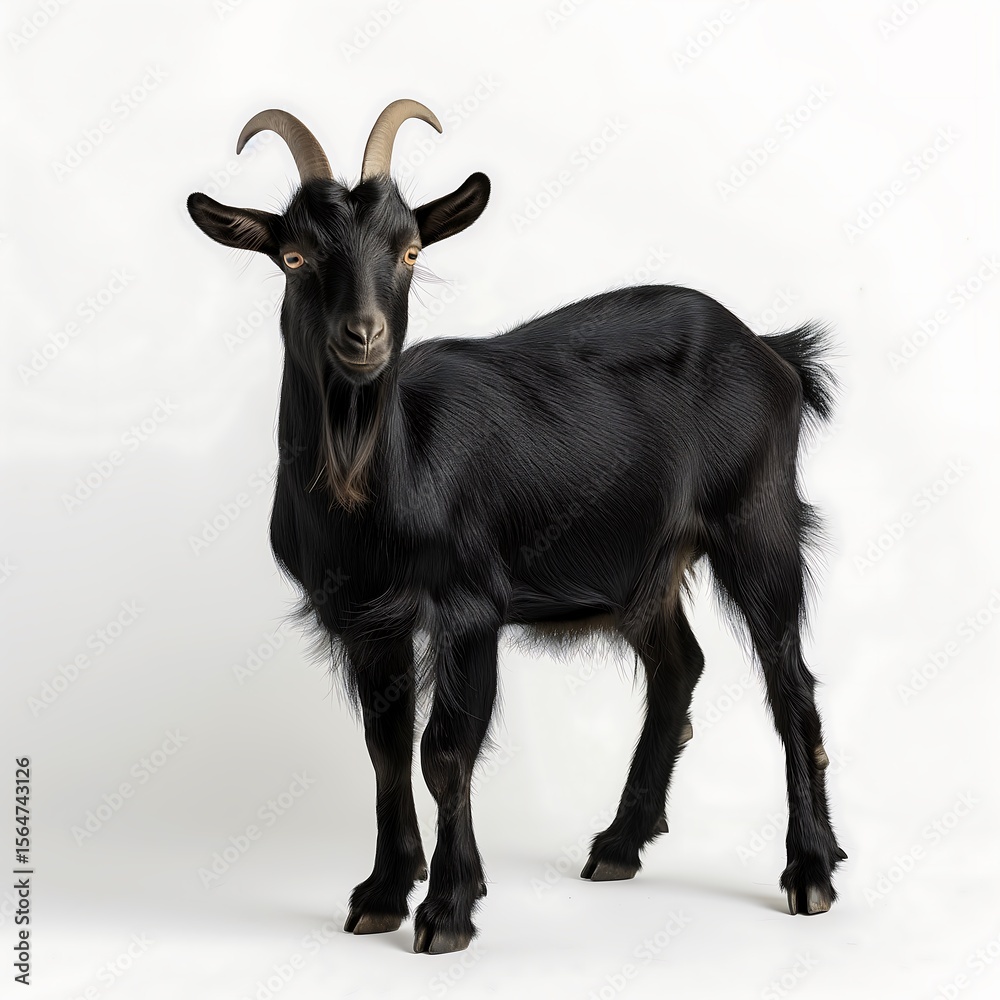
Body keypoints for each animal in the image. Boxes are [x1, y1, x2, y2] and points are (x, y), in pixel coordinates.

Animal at [187, 100, 846, 955]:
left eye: (408, 250)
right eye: (295, 256)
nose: (363, 336)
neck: (383, 477)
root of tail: (772, 350)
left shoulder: (469, 604)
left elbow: (443, 751)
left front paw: (447, 911)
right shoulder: (366, 616)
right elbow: (384, 749)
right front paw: (383, 892)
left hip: (757, 519)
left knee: (787, 678)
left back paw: (811, 871)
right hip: (644, 564)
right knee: (681, 664)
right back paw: (620, 844)